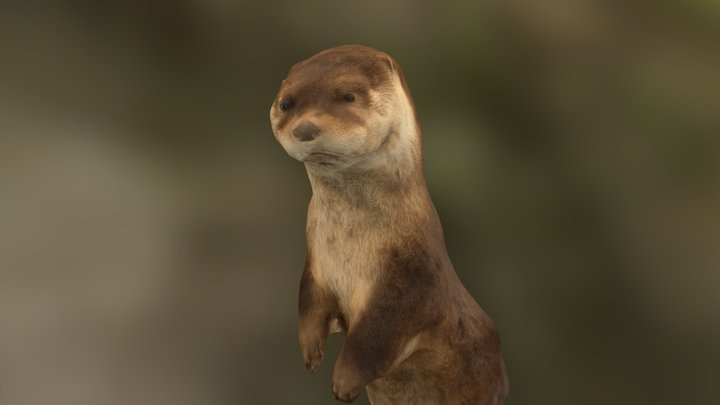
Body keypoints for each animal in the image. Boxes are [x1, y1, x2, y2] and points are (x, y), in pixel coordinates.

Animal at [269, 45, 509, 404]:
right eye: (285, 103)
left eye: (349, 95)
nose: (305, 129)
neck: (350, 245)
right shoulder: (317, 265)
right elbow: (308, 302)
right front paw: (311, 353)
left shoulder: (408, 285)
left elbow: (372, 339)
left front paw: (344, 382)